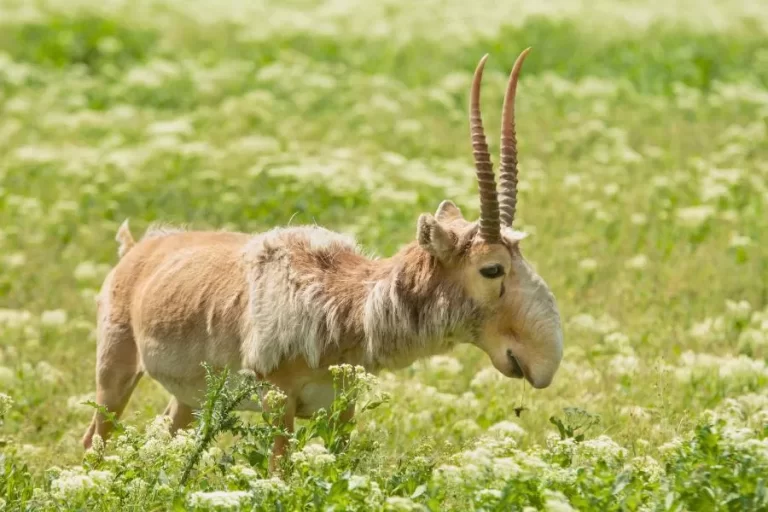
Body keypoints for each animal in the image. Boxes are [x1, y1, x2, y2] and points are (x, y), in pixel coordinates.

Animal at [82, 50, 564, 470]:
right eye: (492, 268)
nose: (544, 363)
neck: (342, 299)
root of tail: (138, 250)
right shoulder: (279, 405)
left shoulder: (342, 408)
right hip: (114, 375)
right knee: (94, 439)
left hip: (187, 399)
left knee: (166, 436)